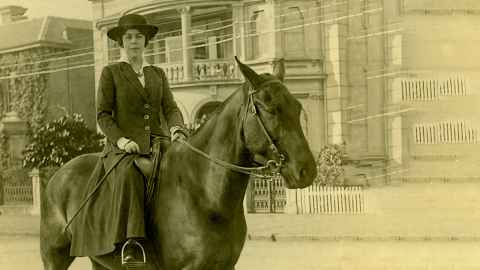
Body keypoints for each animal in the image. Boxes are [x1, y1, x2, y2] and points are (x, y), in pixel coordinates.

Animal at [39, 56, 316, 268]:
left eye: (297, 106)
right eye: (269, 109)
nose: (307, 171)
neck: (206, 194)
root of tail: (58, 175)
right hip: (55, 256)